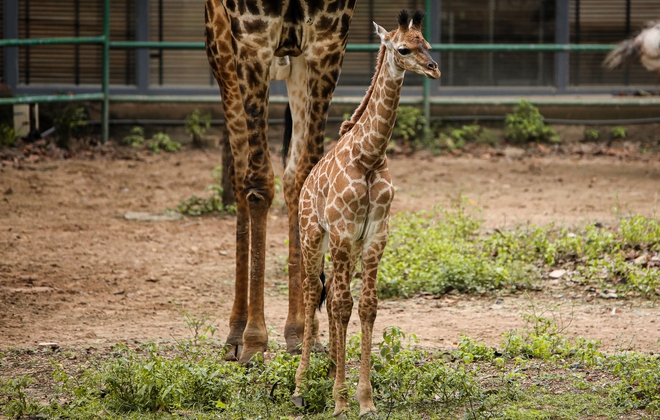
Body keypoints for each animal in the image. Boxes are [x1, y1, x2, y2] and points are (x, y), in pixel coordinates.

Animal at [292, 9, 438, 416]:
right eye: (403, 49)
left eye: (427, 44)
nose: (434, 68)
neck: (369, 157)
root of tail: (305, 185)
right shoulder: (342, 231)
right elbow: (343, 305)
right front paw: (342, 401)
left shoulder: (374, 235)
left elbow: (367, 306)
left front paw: (365, 399)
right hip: (313, 234)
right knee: (313, 291)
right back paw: (301, 385)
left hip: (347, 246)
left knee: (329, 295)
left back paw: (328, 371)